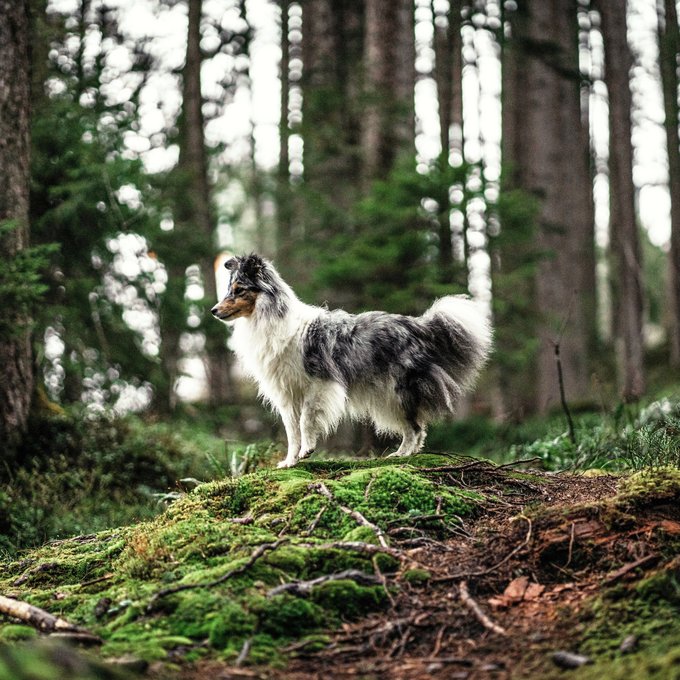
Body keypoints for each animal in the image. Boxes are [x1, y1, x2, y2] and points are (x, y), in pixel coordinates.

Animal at [210, 254, 492, 468]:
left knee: (416, 427)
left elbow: (306, 420)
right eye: (229, 291)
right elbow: (291, 431)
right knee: (415, 427)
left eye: (238, 290)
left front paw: (307, 450)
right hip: (387, 396)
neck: (268, 319)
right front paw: (290, 461)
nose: (213, 311)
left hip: (397, 390)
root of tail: (419, 325)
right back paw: (403, 453)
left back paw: (402, 454)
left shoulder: (320, 383)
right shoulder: (286, 394)